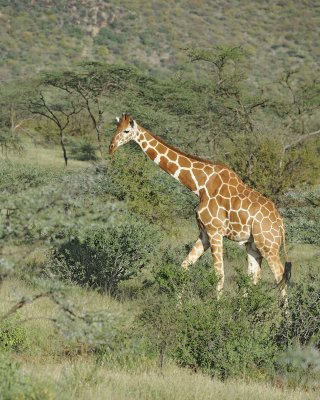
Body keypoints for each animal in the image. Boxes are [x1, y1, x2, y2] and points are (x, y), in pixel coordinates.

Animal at [109, 112, 292, 300]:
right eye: (115, 128)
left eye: (126, 131)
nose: (111, 147)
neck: (200, 185)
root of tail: (281, 224)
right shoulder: (204, 233)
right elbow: (184, 266)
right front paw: (178, 304)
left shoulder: (215, 231)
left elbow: (219, 275)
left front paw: (217, 307)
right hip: (253, 246)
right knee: (254, 278)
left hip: (268, 246)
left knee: (280, 277)